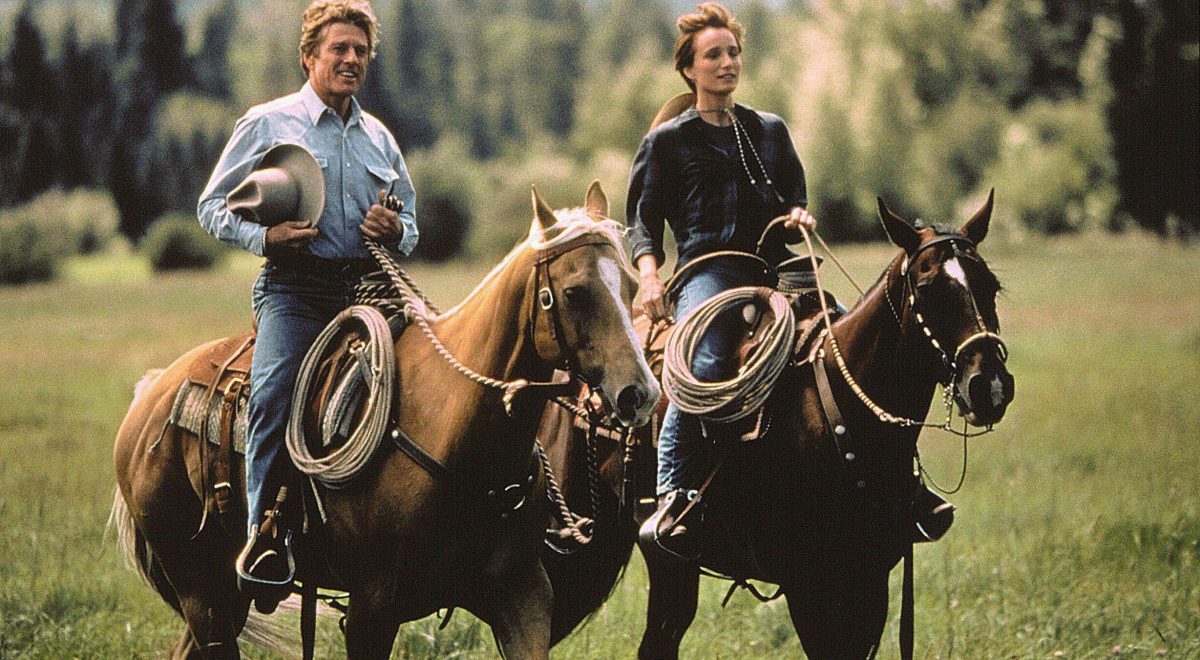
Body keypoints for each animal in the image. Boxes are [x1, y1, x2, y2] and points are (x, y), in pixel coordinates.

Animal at [111, 183, 657, 657]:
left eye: (632, 285)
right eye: (575, 292)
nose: (640, 393)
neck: (459, 432)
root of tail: (149, 397)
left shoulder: (522, 595)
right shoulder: (372, 607)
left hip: (222, 598)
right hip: (201, 589)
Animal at [540, 194, 1017, 657]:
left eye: (990, 286)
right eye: (928, 288)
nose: (989, 385)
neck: (840, 412)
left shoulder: (870, 578)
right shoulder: (807, 586)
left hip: (663, 561)